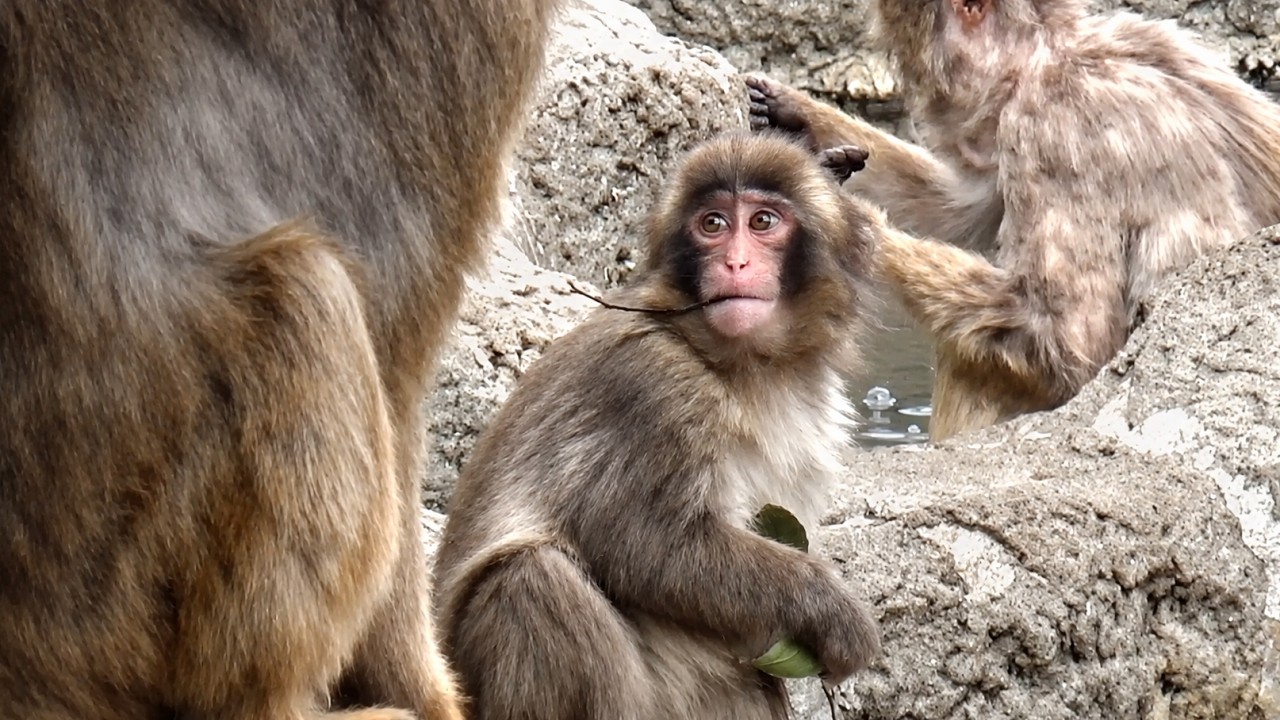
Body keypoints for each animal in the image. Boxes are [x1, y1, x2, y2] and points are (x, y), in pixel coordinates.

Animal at [431, 131, 883, 720]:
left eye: (763, 221)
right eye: (713, 224)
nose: (735, 262)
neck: (746, 367)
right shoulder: (652, 385)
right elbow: (649, 545)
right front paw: (831, 609)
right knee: (533, 579)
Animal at [745, 0, 1280, 441]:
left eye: (912, 67)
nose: (921, 106)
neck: (1052, 56)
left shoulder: (1054, 127)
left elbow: (1065, 341)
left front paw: (851, 222)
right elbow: (965, 207)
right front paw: (797, 118)